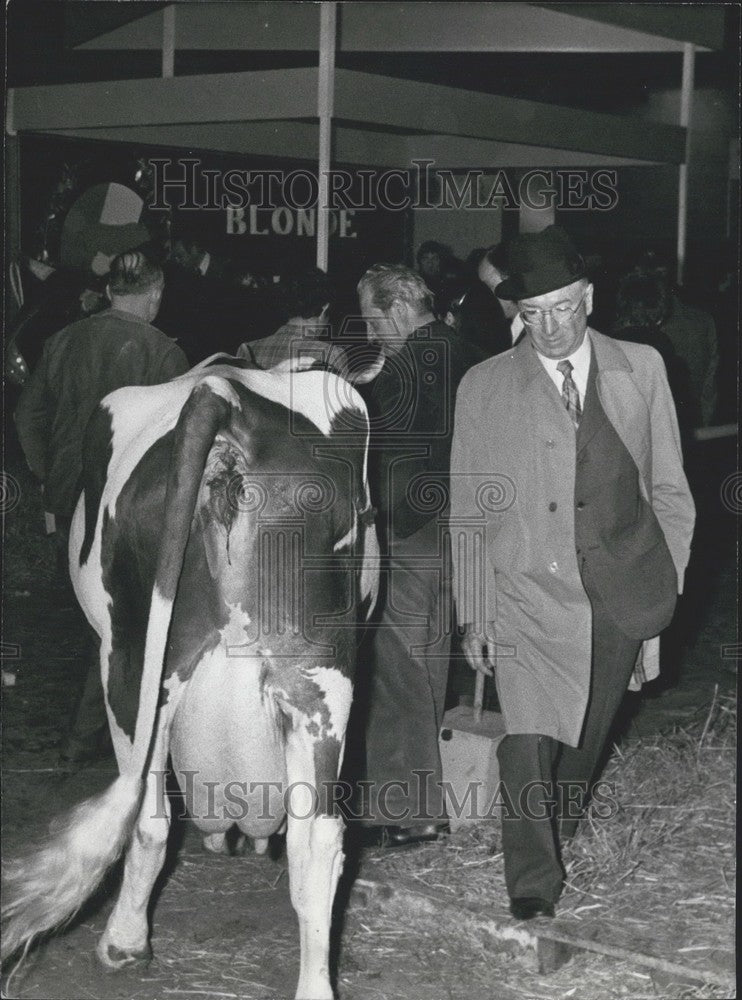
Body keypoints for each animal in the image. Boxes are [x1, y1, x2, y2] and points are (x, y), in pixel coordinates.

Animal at [1, 354, 378, 1000]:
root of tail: (225, 397)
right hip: (319, 679)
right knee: (318, 843)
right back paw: (313, 984)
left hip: (130, 663)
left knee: (149, 815)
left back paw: (124, 942)